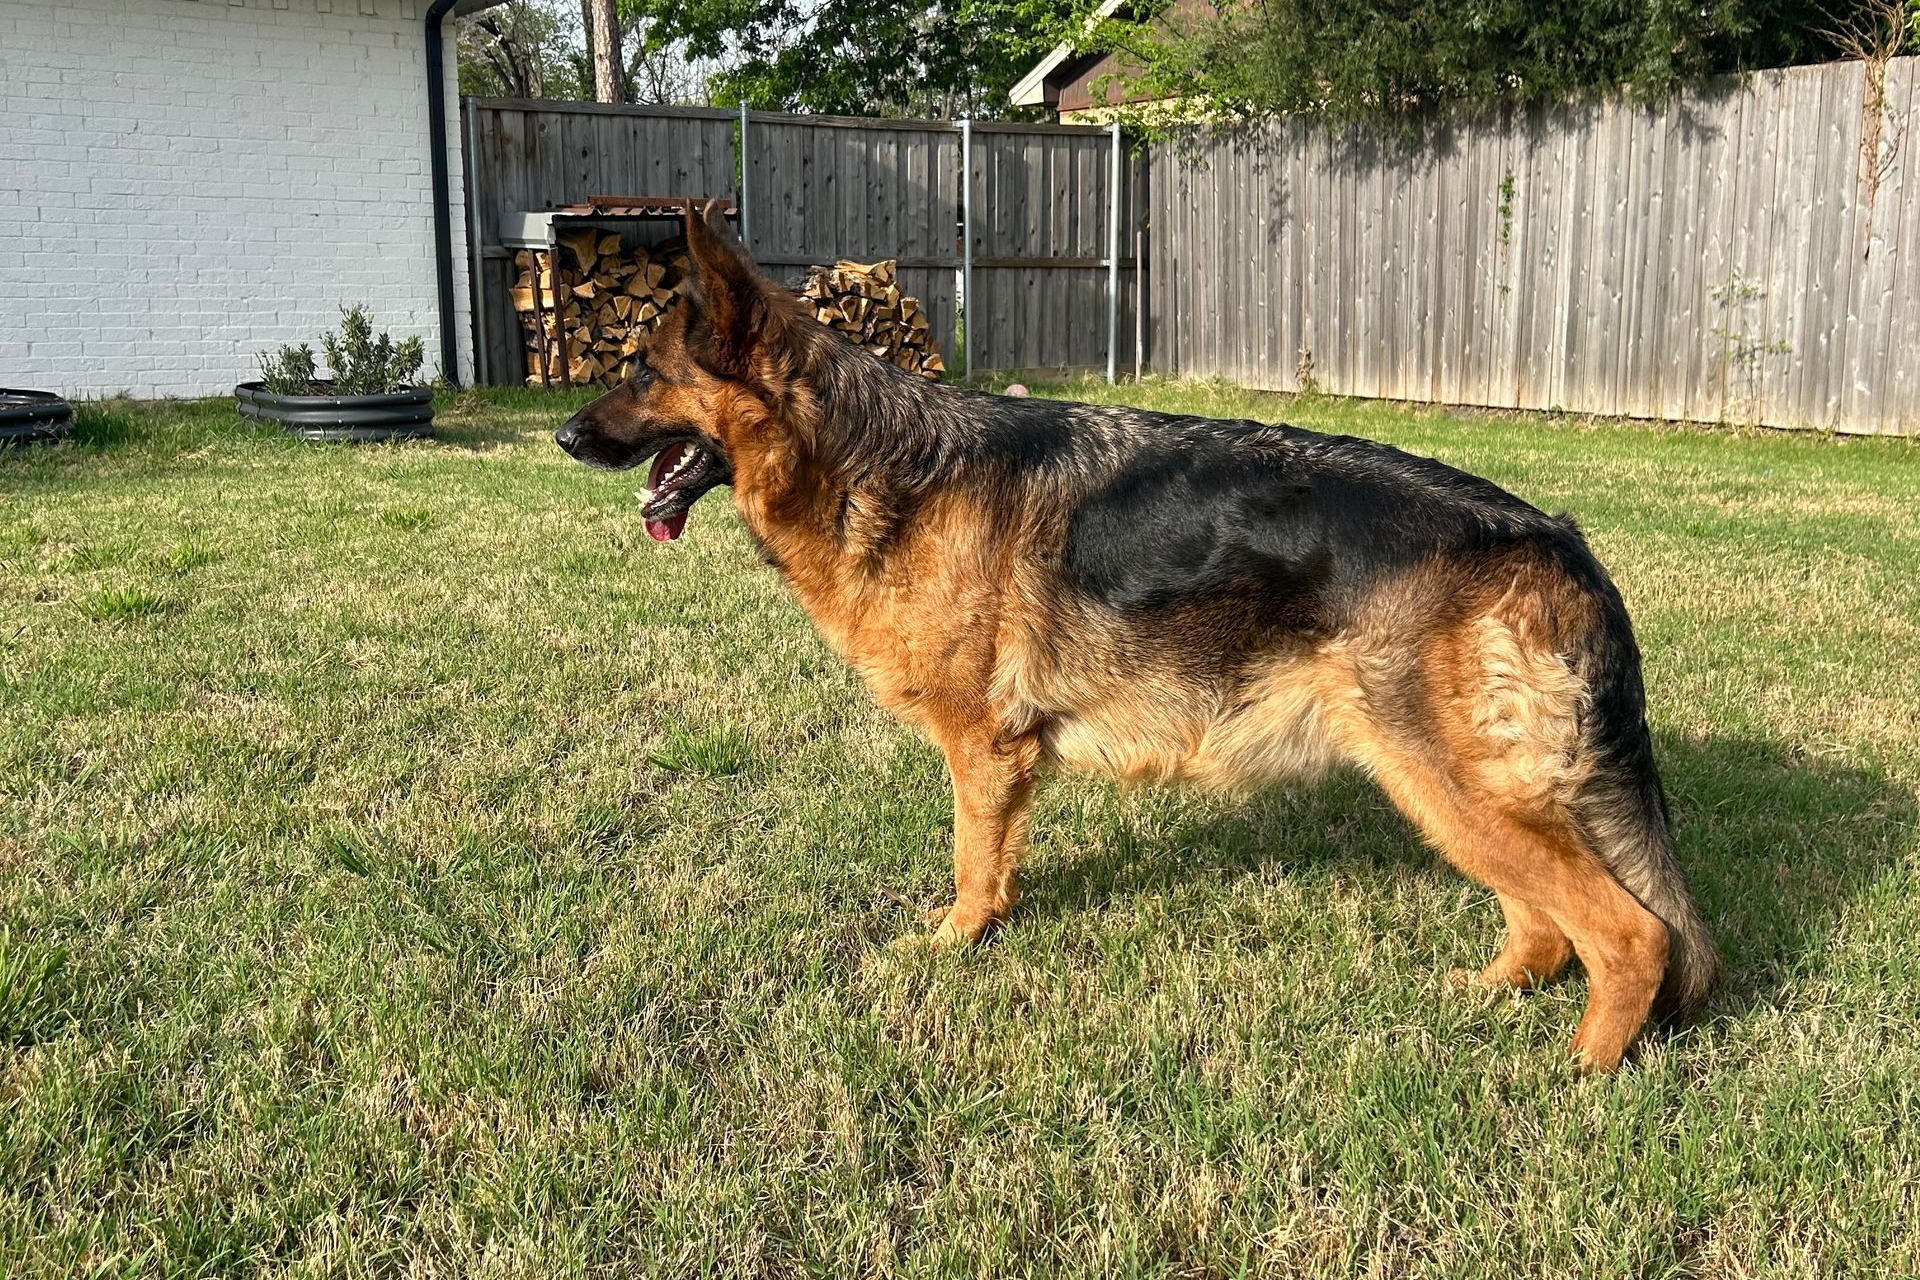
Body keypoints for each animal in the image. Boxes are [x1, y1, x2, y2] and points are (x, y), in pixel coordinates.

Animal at [554, 201, 1717, 1071]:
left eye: (644, 370)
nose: (562, 436)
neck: (862, 458)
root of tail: (1555, 538)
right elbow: (997, 860)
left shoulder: (983, 747)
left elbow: (972, 861)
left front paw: (957, 942)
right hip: (1451, 790)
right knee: (1548, 920)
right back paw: (1488, 997)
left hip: (1449, 783)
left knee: (1630, 933)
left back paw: (1579, 1072)